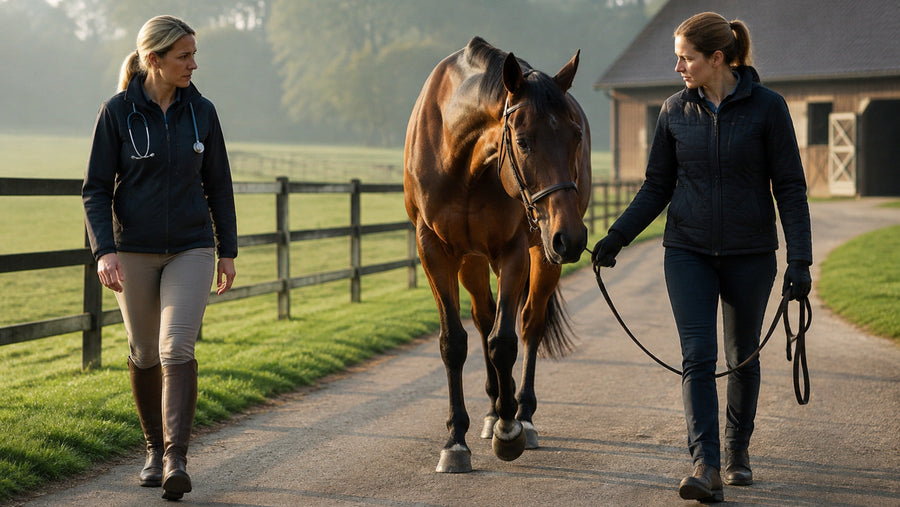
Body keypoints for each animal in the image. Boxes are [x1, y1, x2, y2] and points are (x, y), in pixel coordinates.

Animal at [403, 36, 591, 473]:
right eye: (522, 142)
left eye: (575, 137)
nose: (572, 238)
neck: (460, 158)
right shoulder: (433, 249)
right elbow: (454, 342)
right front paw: (456, 440)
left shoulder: (514, 250)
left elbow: (504, 341)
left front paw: (509, 430)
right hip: (474, 259)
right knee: (483, 317)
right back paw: (491, 410)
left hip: (542, 255)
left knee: (529, 324)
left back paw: (521, 414)